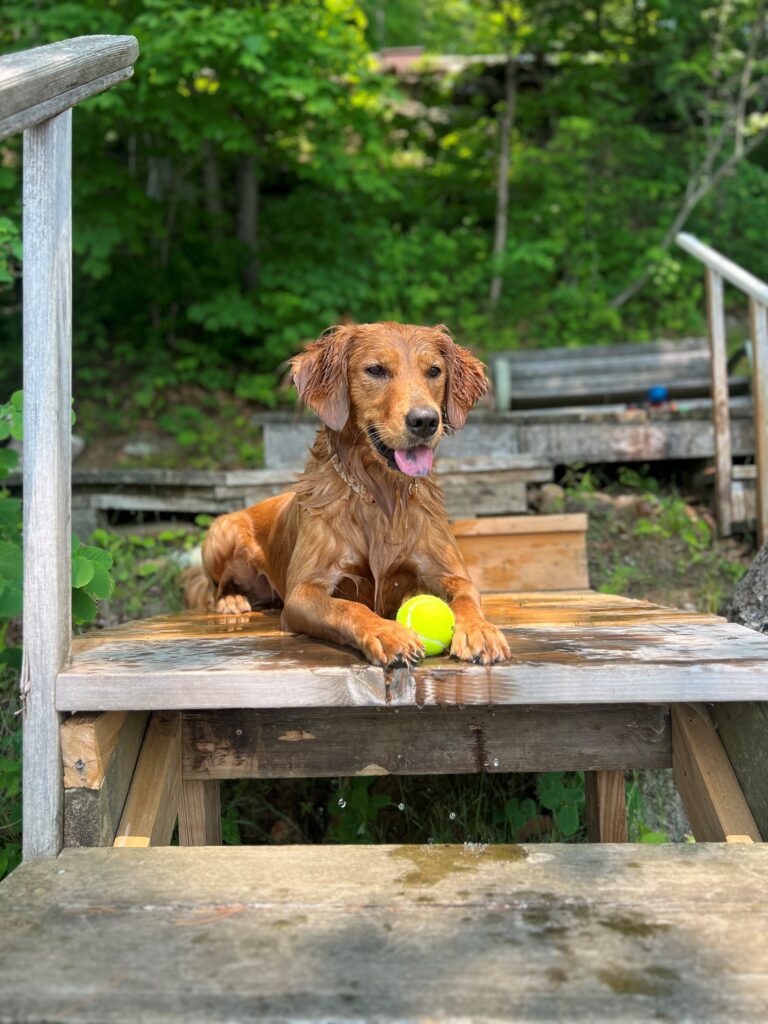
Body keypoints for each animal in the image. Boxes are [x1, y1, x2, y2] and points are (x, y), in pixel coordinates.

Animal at [186, 323, 512, 667]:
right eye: (376, 370)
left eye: (434, 371)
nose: (425, 420)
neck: (380, 496)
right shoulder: (304, 591)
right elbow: (348, 607)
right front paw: (387, 633)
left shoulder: (448, 572)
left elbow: (466, 596)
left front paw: (479, 631)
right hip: (222, 531)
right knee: (215, 587)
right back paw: (232, 600)